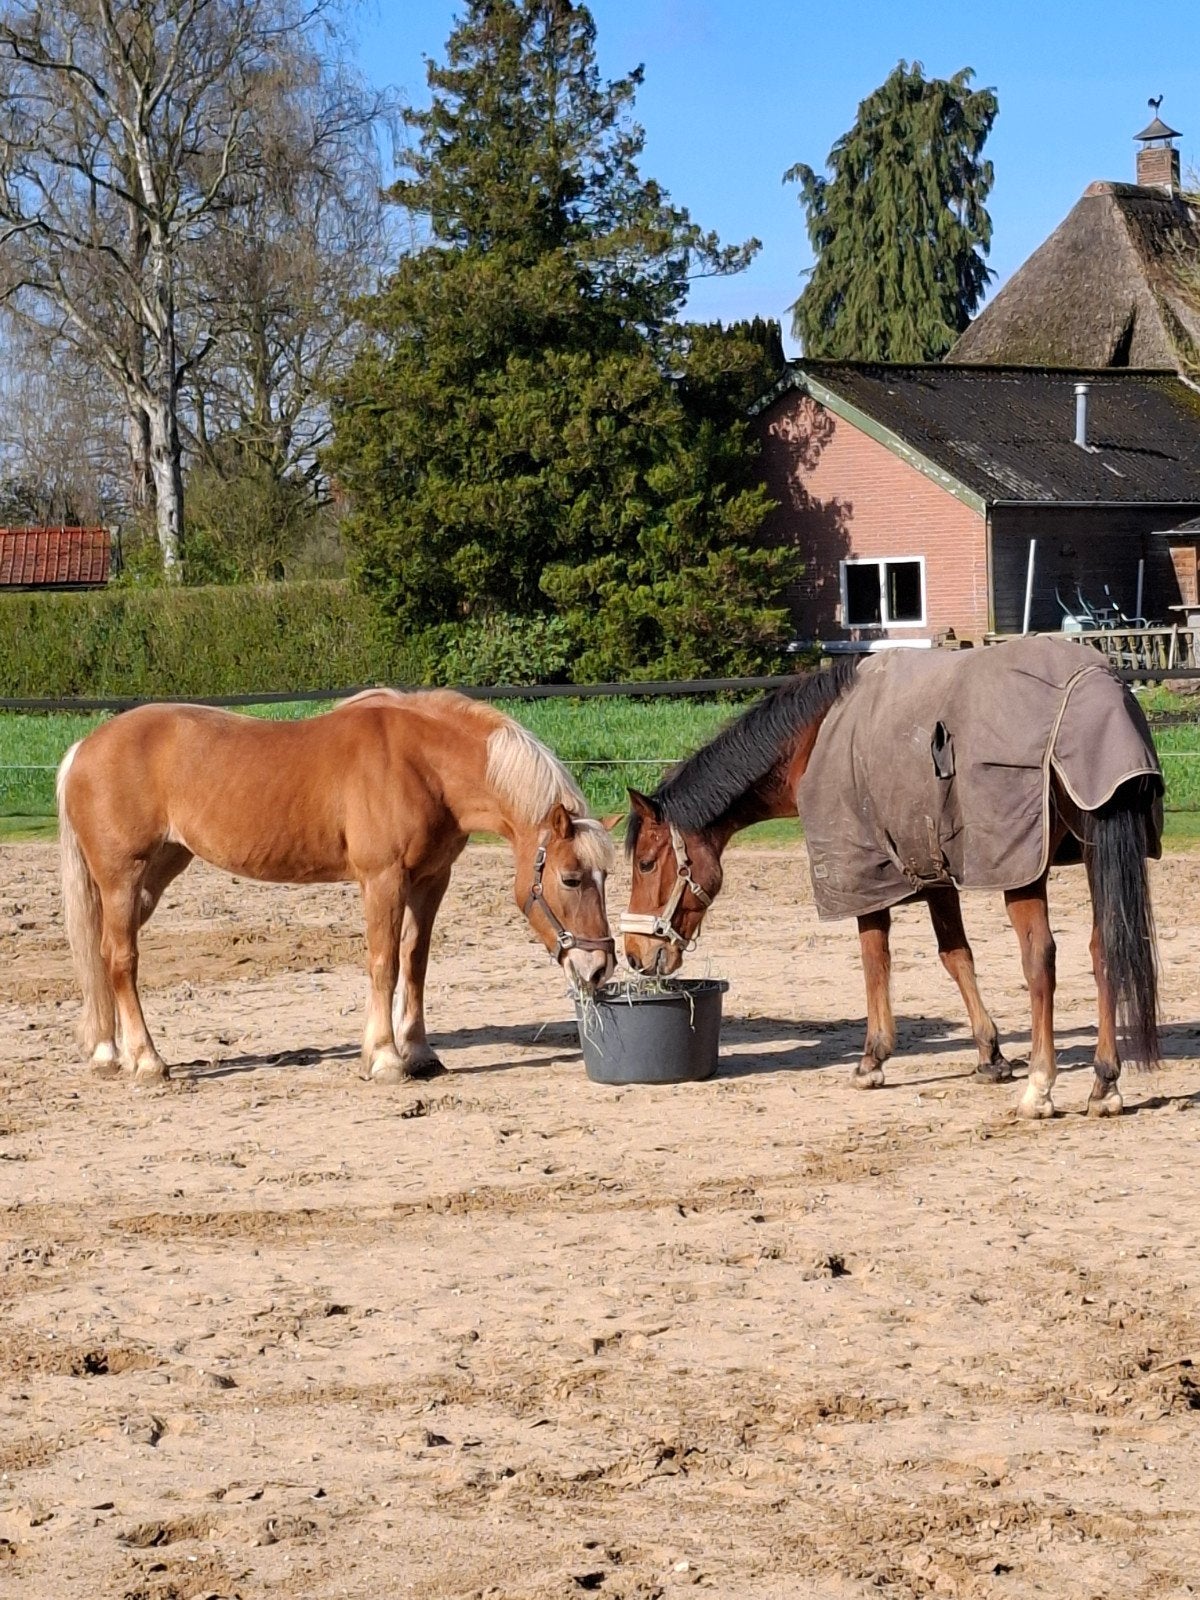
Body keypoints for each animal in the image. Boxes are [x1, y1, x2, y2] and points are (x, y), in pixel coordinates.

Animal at [57, 688, 616, 1084]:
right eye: (570, 878)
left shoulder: (430, 880)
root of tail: (84, 748)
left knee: (104, 955)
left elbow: (415, 962)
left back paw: (109, 1052)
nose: (598, 968)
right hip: (123, 877)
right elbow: (384, 964)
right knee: (122, 961)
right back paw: (147, 1061)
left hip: (155, 875)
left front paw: (419, 1052)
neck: (422, 765)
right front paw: (386, 1059)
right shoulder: (383, 880)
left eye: (606, 876)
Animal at [620, 638, 1162, 1119]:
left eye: (645, 863)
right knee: (1106, 949)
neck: (814, 738)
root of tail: (1095, 691)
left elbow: (874, 960)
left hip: (1019, 866)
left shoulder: (862, 873)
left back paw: (1040, 1089)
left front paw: (872, 1059)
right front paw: (990, 1056)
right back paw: (1104, 1085)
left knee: (1040, 962)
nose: (635, 954)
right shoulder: (932, 867)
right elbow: (956, 957)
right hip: (1093, 854)